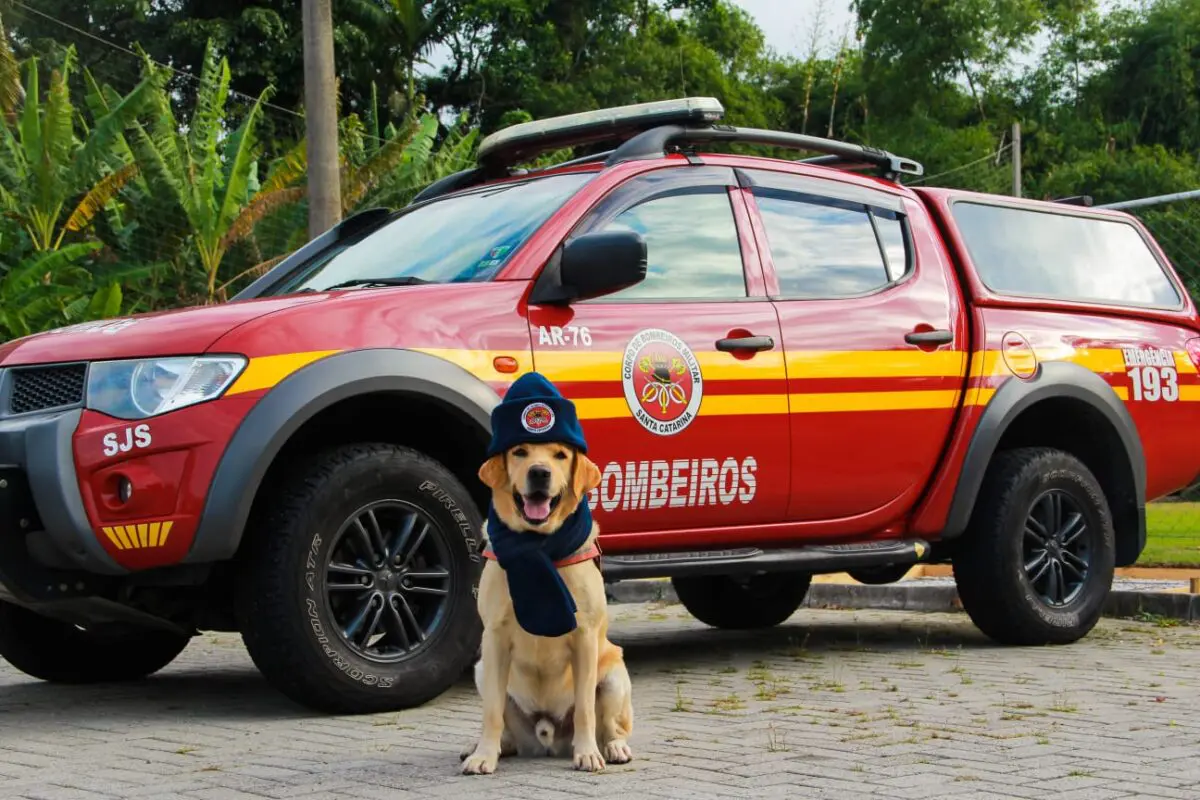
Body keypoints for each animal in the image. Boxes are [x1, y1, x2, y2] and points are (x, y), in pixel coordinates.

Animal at [458, 441, 633, 772]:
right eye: (519, 452)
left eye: (561, 455)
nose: (539, 472)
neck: (538, 547)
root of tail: (547, 735)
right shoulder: (495, 638)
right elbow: (491, 712)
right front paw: (484, 755)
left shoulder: (585, 637)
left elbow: (585, 709)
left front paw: (587, 753)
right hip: (482, 669)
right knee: (504, 725)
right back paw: (489, 747)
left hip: (615, 677)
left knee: (611, 724)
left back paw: (613, 747)